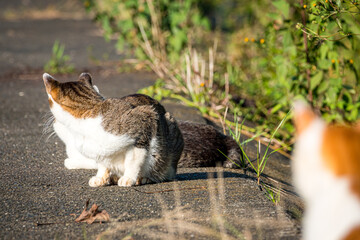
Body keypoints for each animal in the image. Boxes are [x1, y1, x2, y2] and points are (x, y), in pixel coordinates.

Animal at [43, 72, 243, 187]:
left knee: (164, 171)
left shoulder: (144, 125)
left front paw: (129, 178)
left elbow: (134, 161)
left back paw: (145, 178)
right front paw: (101, 177)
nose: (53, 123)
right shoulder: (100, 154)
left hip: (169, 133)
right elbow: (103, 165)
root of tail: (224, 138)